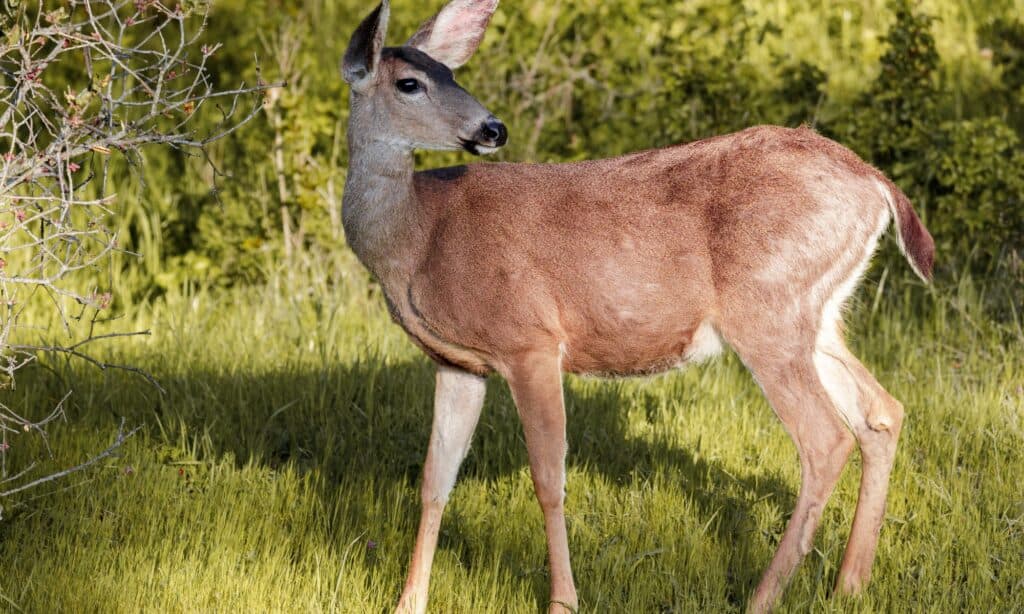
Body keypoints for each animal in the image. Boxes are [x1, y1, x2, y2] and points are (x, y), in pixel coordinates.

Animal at [339, 2, 933, 609]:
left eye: (450, 74)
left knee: (826, 438)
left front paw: (563, 600)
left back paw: (763, 596)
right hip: (817, 315)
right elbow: (435, 481)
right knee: (881, 412)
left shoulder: (530, 340)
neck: (418, 239)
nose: (492, 128)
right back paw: (850, 583)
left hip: (767, 309)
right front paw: (408, 601)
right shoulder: (458, 363)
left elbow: (548, 480)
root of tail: (874, 182)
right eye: (411, 82)